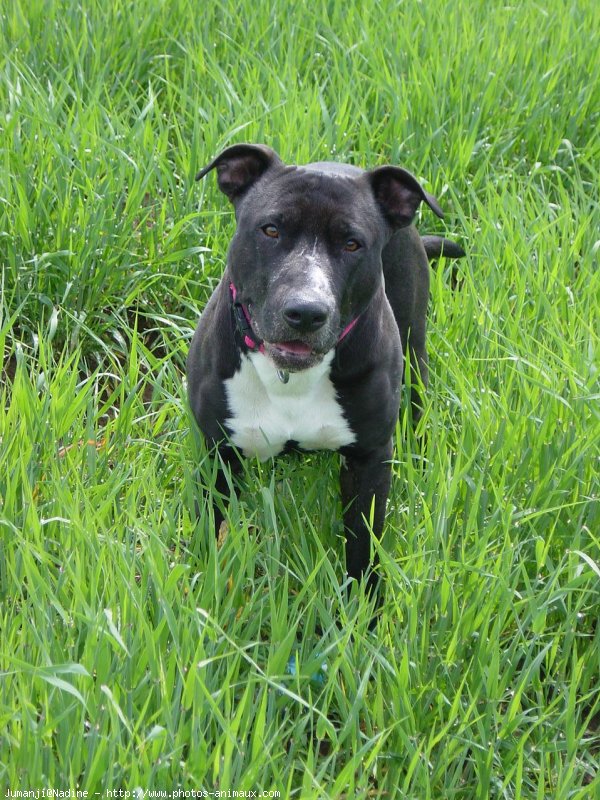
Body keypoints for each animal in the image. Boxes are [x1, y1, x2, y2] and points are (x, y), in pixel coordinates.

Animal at [188, 145, 464, 600]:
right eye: (270, 230)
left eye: (353, 244)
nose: (305, 311)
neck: (290, 380)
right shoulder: (218, 455)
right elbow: (212, 532)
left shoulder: (370, 460)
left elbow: (363, 544)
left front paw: (364, 608)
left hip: (414, 346)